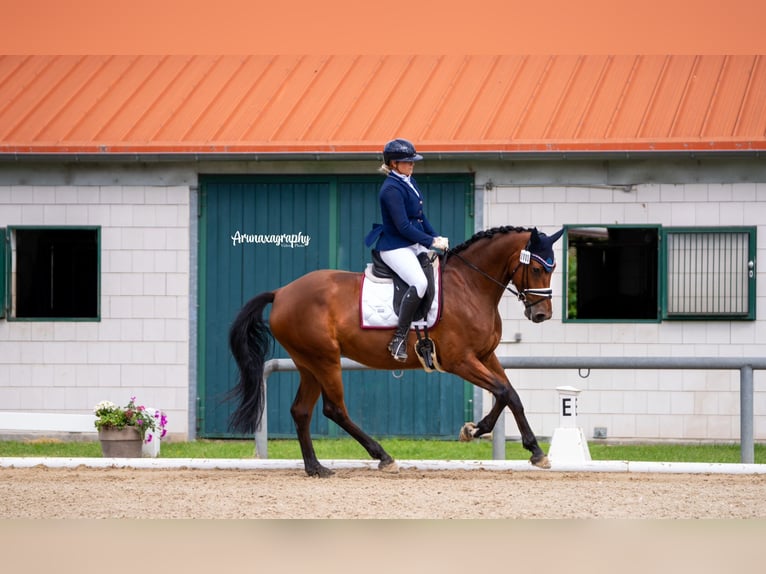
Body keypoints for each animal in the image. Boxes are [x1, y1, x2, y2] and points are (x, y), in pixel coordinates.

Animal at [228, 227, 564, 480]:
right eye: (536, 268)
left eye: (553, 268)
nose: (542, 314)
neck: (470, 285)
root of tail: (282, 292)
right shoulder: (460, 361)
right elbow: (505, 392)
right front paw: (530, 449)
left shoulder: (485, 356)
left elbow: (509, 394)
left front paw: (480, 431)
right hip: (325, 360)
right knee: (334, 409)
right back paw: (383, 457)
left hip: (308, 363)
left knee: (301, 411)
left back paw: (316, 468)